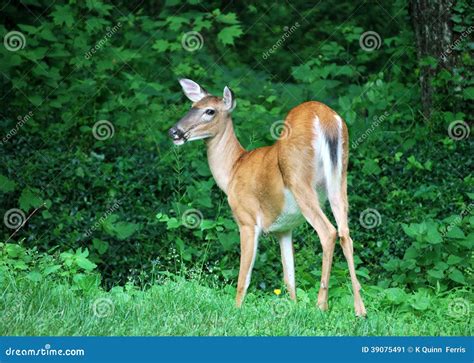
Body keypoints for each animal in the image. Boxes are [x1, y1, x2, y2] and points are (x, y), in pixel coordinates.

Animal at [168, 79, 368, 316]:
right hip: (340, 178)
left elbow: (244, 277)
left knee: (328, 232)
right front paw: (294, 307)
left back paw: (321, 305)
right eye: (192, 106)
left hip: (300, 181)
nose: (174, 132)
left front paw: (236, 309)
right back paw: (360, 310)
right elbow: (289, 278)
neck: (233, 169)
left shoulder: (246, 219)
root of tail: (325, 117)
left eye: (210, 111)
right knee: (346, 233)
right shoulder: (284, 228)